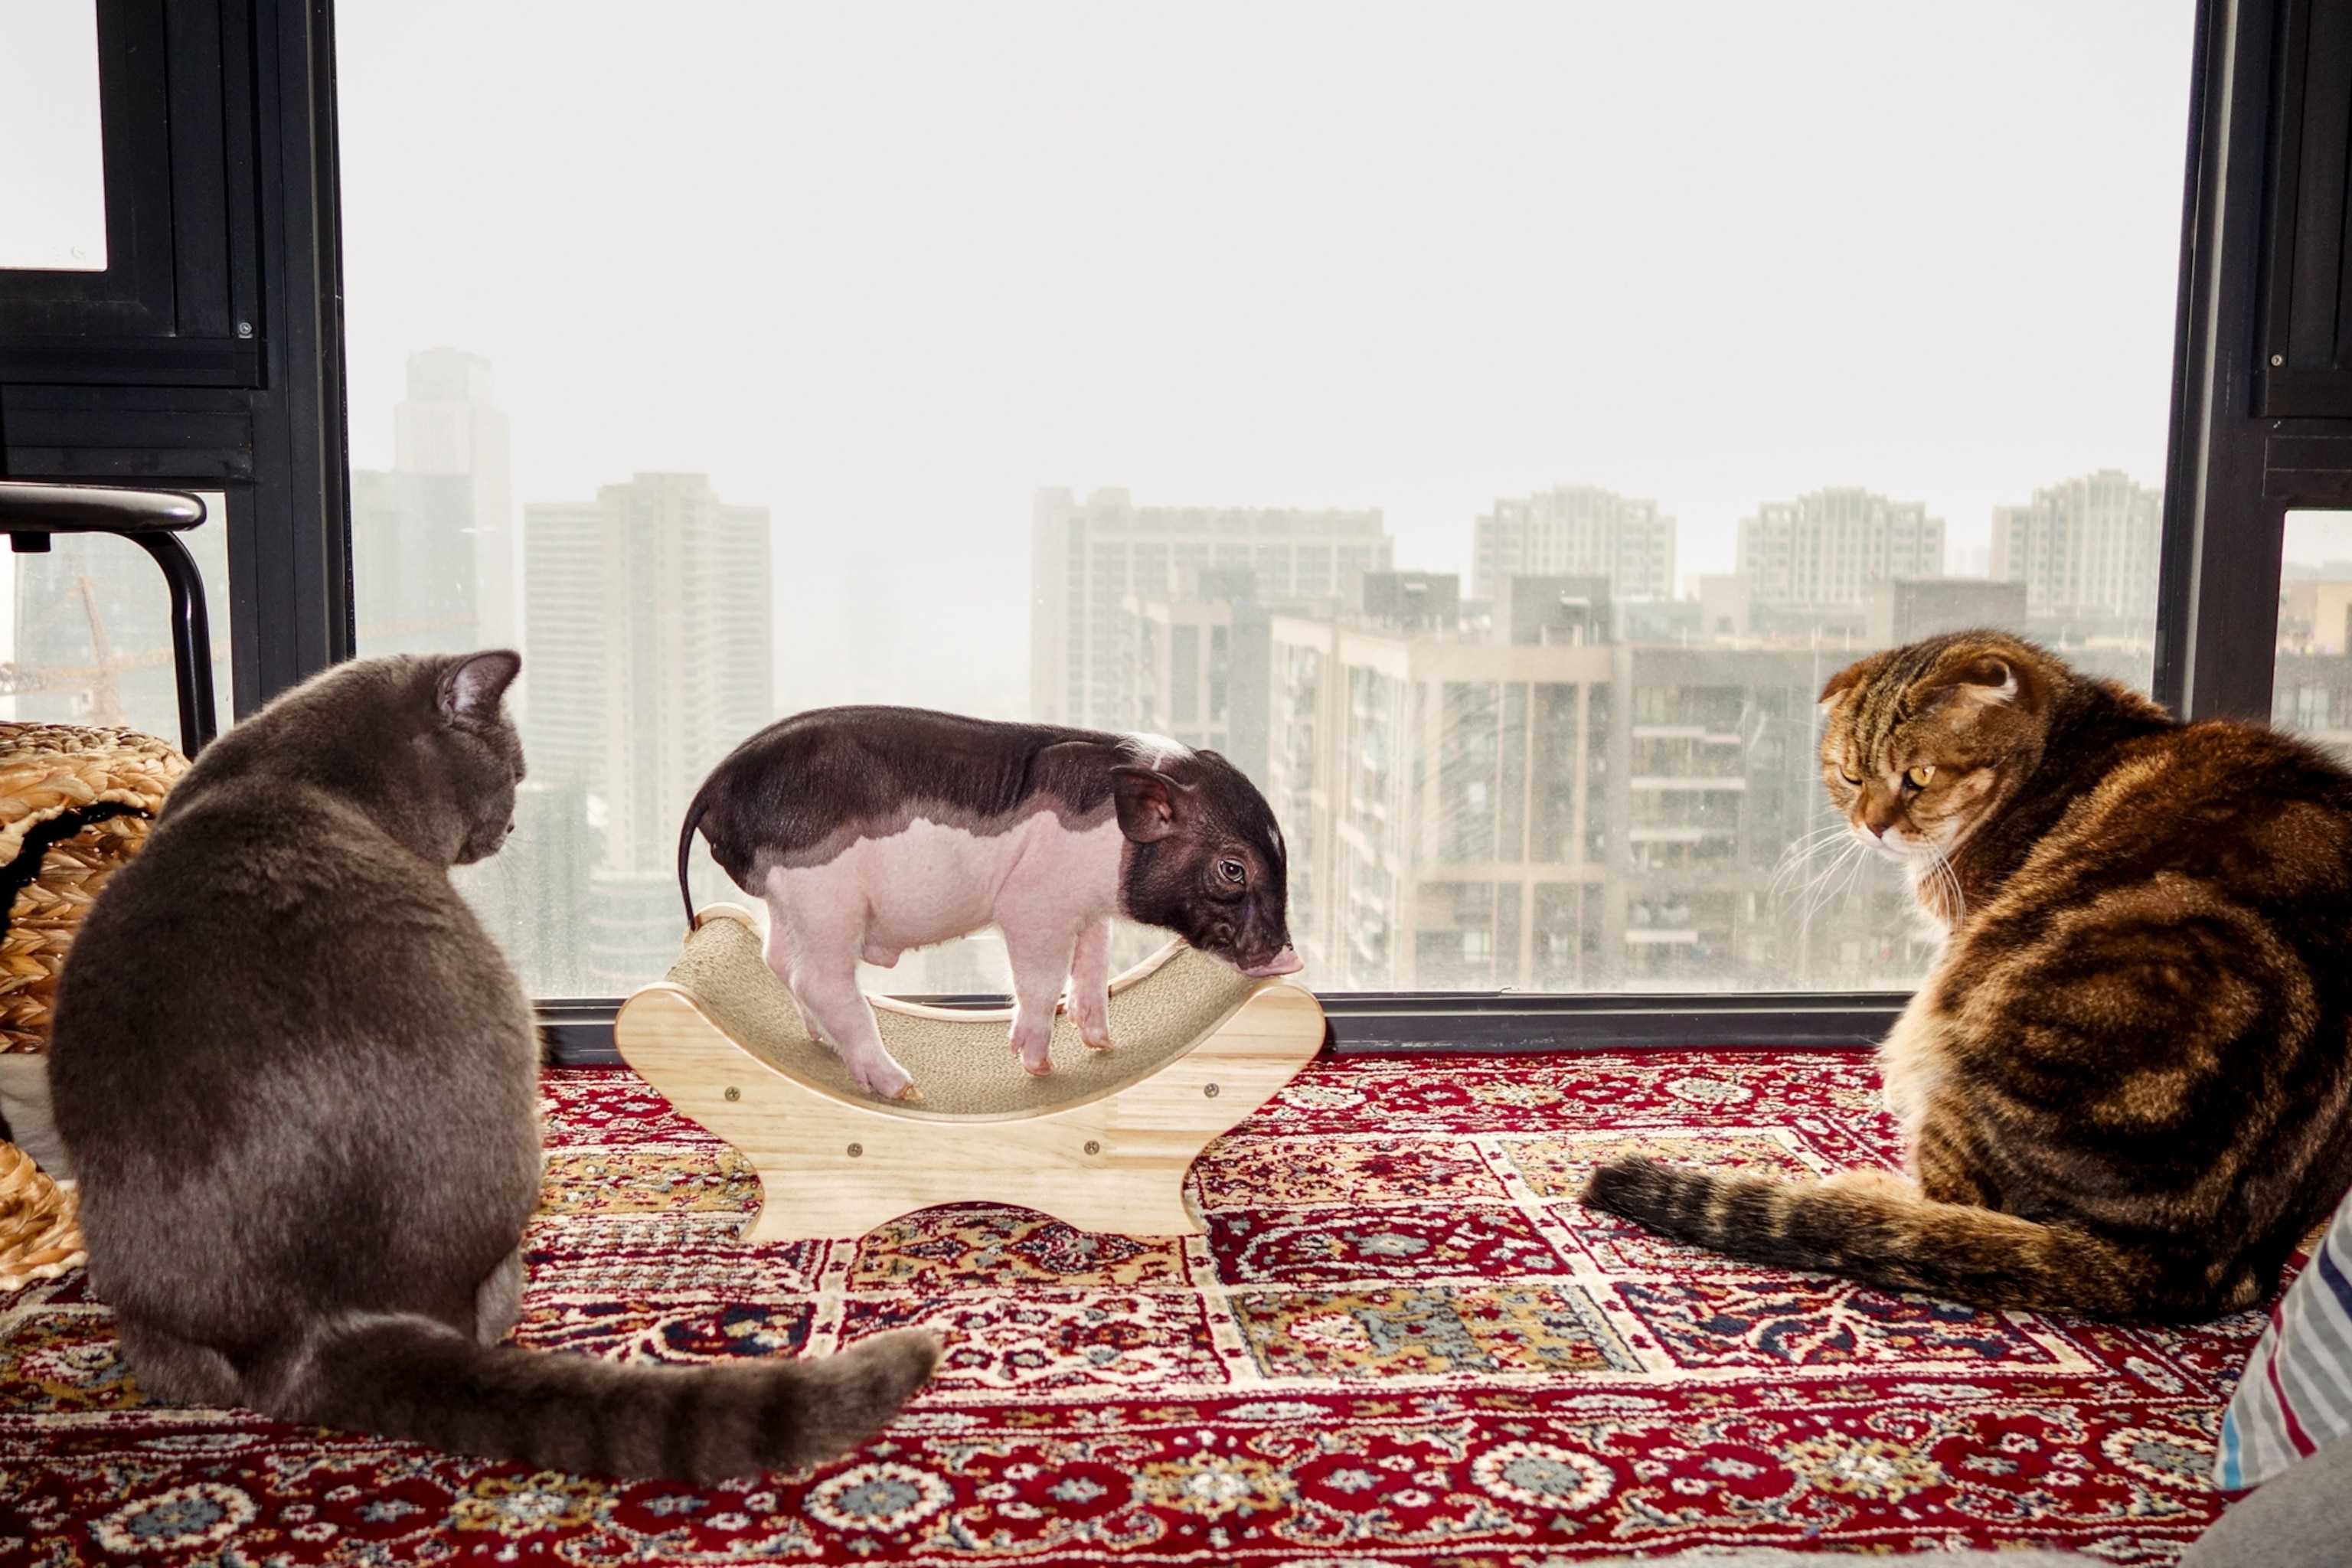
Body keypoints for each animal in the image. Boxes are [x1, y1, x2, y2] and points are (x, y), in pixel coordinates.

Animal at [1580, 629, 2352, 1316]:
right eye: (1852, 775)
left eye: (1919, 775)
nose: (1871, 824)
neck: (2066, 749)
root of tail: (2200, 1261)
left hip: (1963, 1027)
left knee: (1944, 1204)